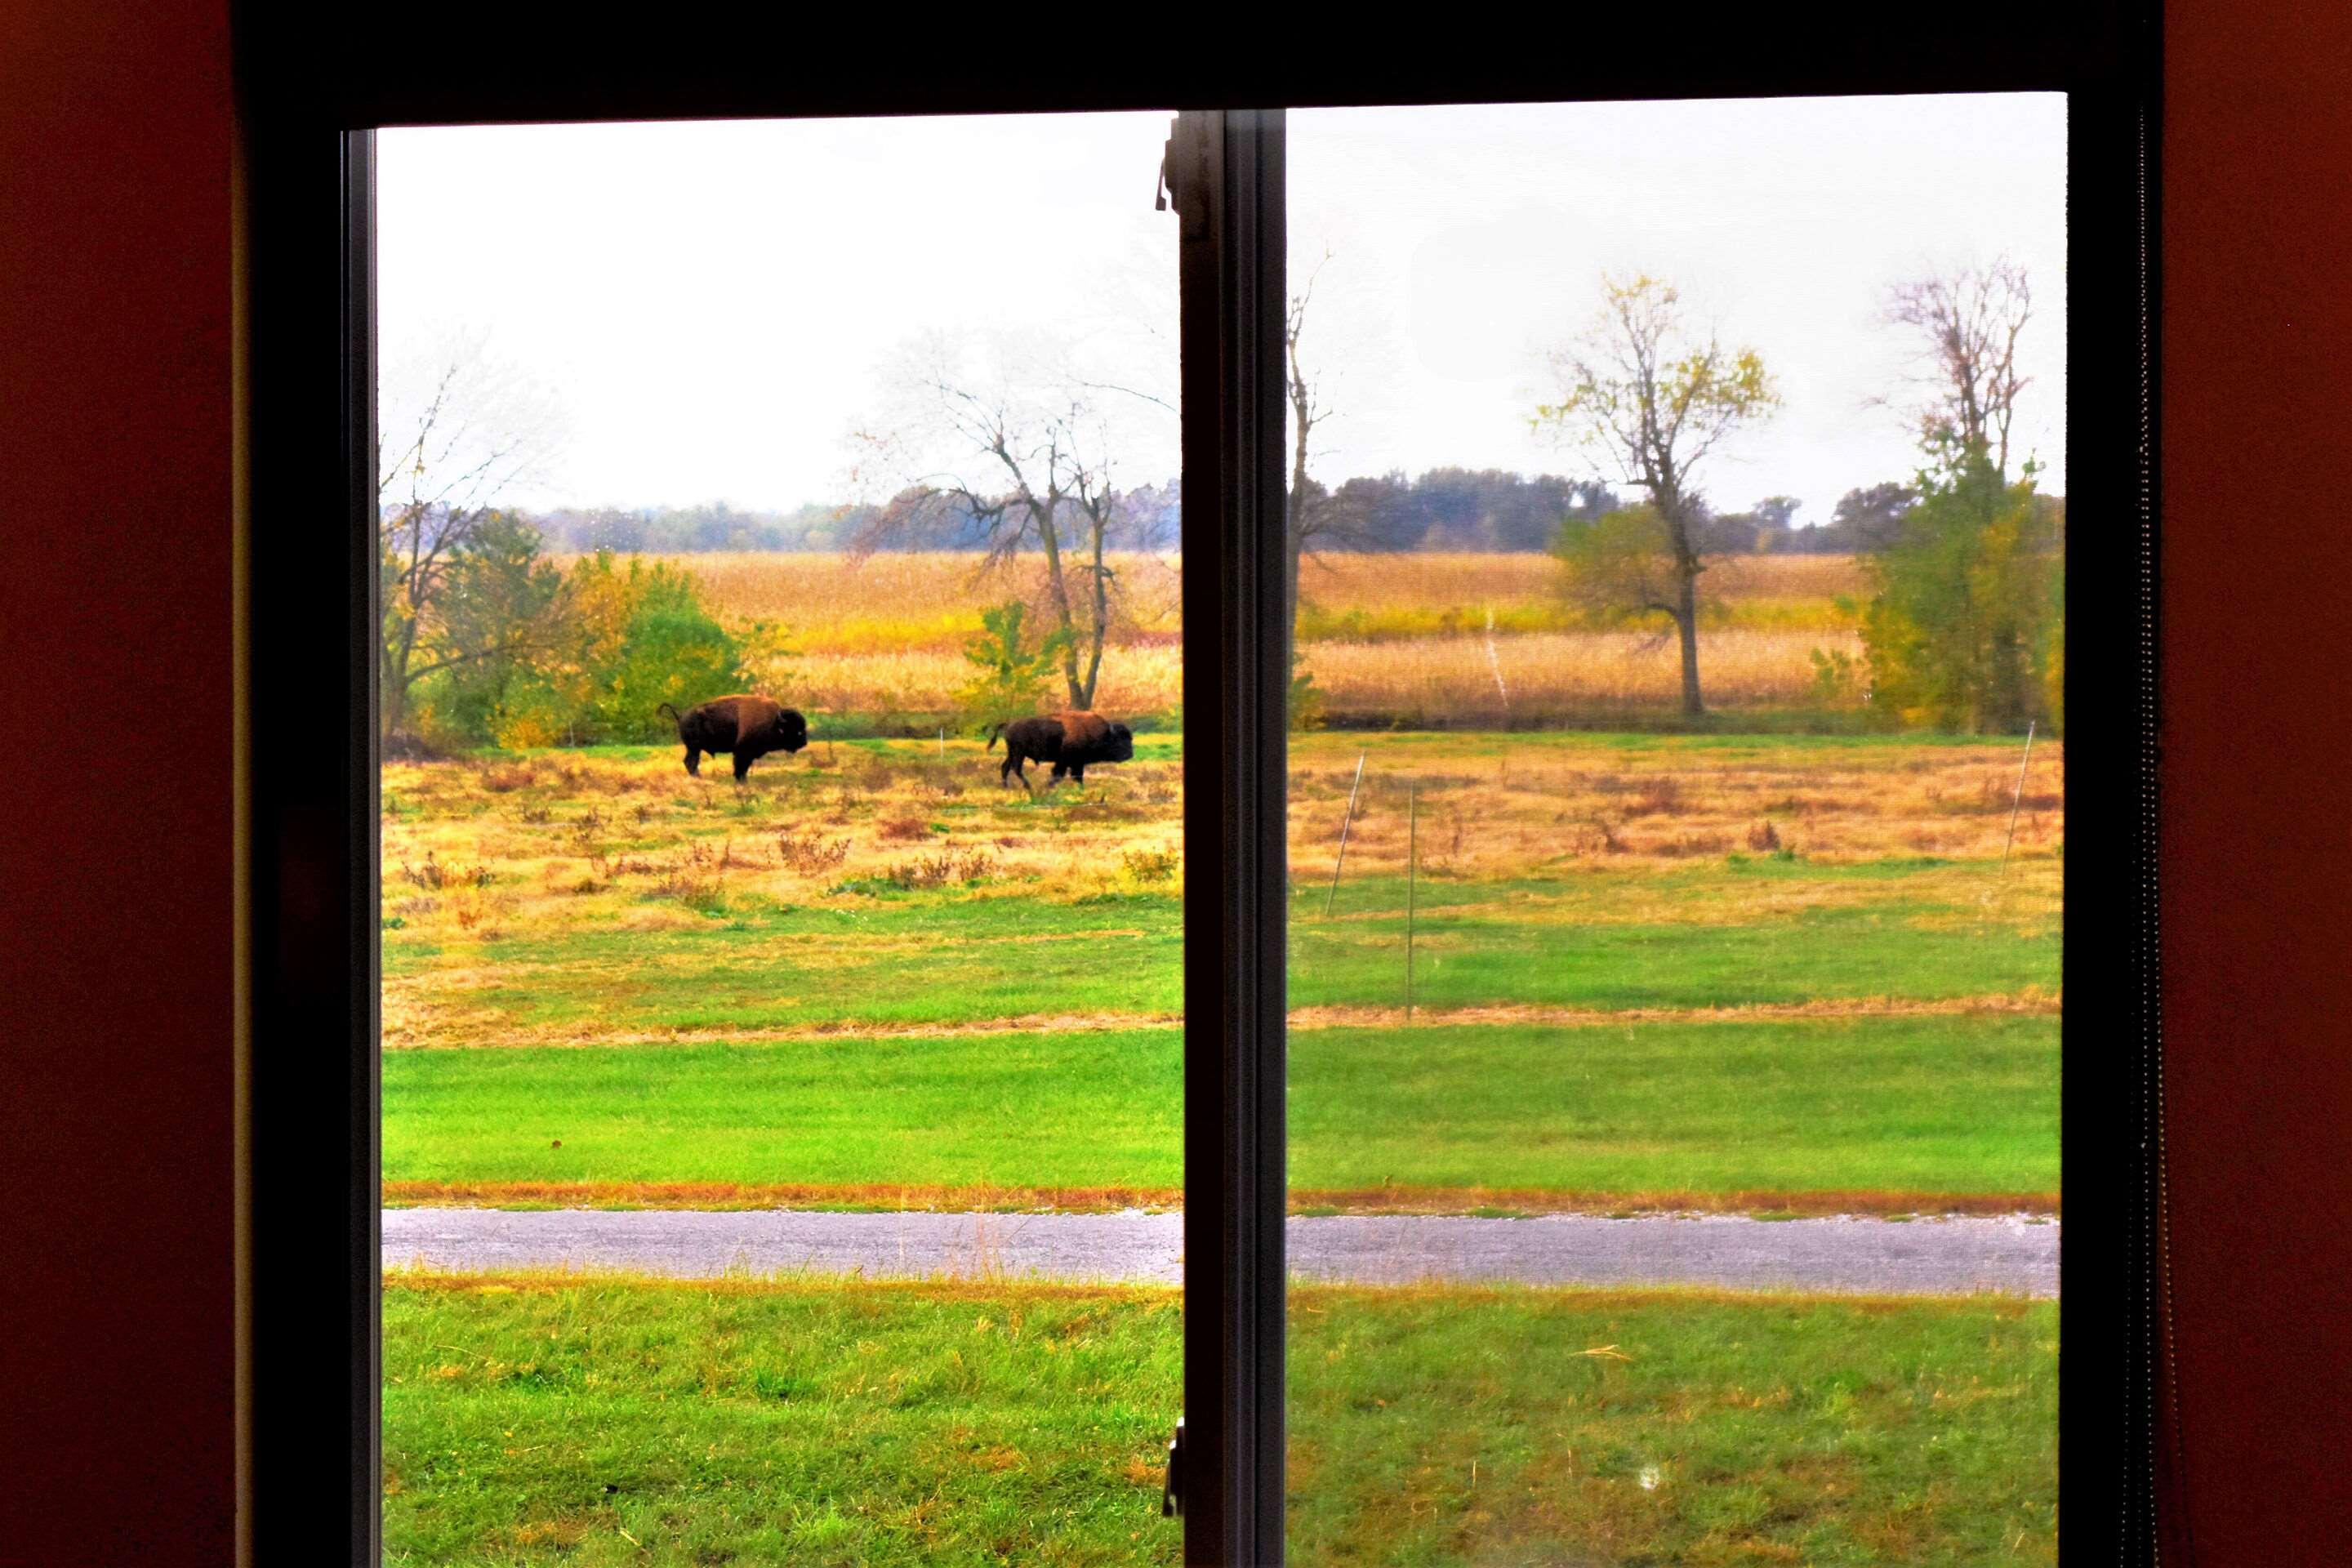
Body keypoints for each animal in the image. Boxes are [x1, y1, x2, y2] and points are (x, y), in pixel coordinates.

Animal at [658, 691, 813, 780]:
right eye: (797, 730)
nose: (804, 743)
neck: (774, 721)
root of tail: (681, 716)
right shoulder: (742, 752)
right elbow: (740, 767)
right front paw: (741, 781)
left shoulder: (748, 754)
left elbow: (744, 768)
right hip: (695, 748)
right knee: (691, 762)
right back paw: (699, 778)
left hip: (693, 748)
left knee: (689, 762)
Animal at [987, 710, 1134, 790]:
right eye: (1119, 740)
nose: (1130, 754)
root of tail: (1009, 724)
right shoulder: (1066, 761)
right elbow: (1059, 775)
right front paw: (1047, 787)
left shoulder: (1077, 763)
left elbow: (1077, 777)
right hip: (1019, 753)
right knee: (1016, 768)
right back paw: (1028, 786)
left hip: (1012, 753)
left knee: (1005, 767)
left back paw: (1006, 787)